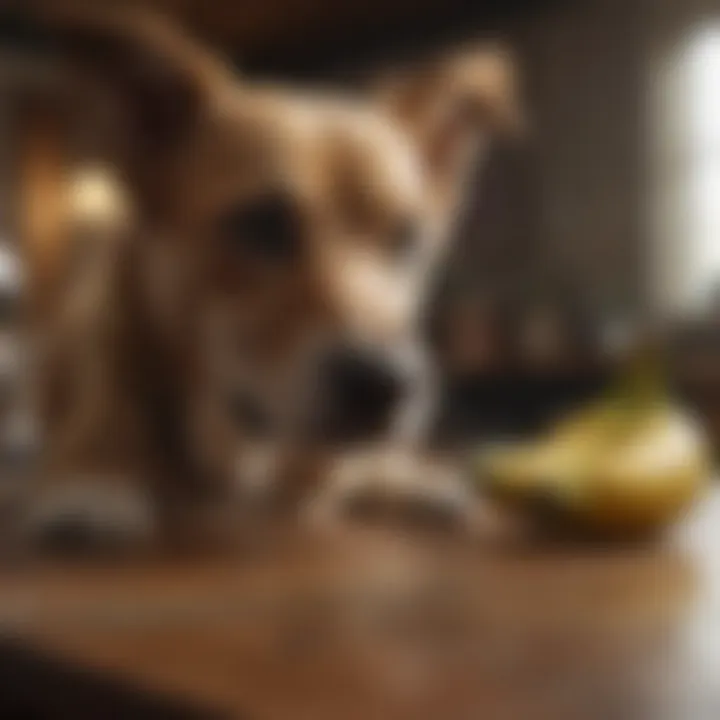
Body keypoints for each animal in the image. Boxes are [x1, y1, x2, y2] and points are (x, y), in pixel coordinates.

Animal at [25, 7, 520, 552]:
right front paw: (91, 480)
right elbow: (101, 425)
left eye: (406, 237)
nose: (386, 385)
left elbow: (349, 471)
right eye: (263, 224)